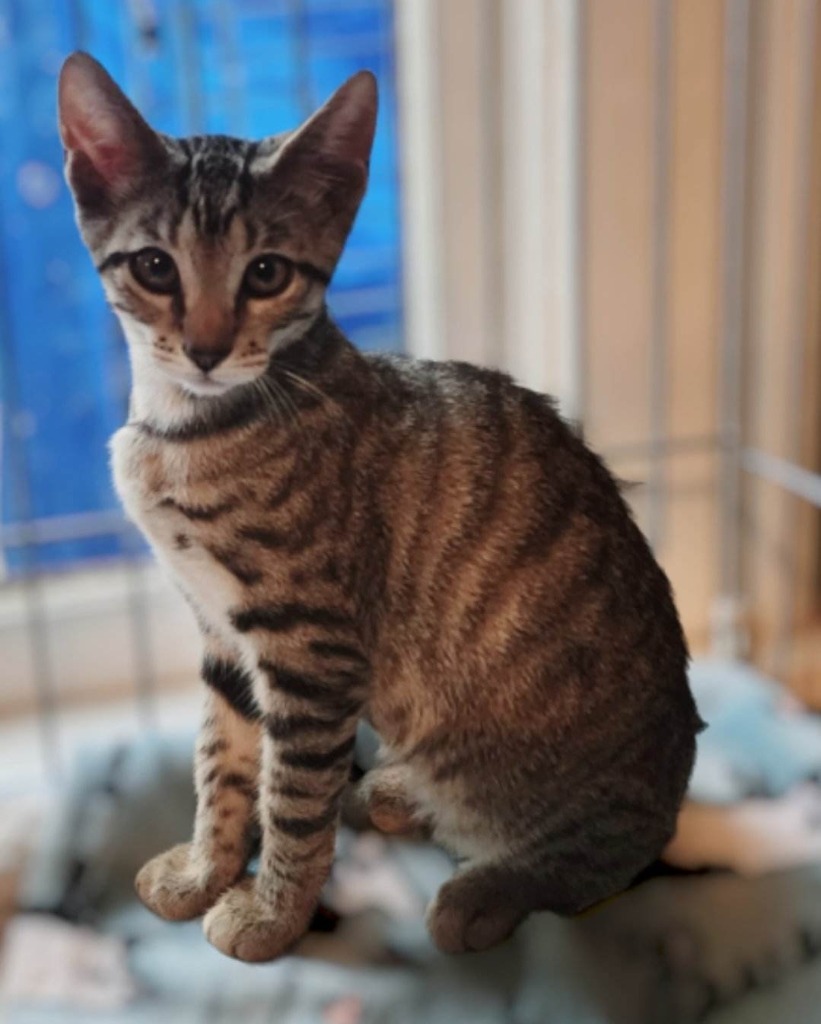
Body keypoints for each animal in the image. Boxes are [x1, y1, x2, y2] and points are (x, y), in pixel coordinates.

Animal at [57, 48, 700, 958]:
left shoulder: (310, 648)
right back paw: (394, 791)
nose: (207, 349)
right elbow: (221, 762)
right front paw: (204, 866)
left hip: (558, 786)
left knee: (597, 861)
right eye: (154, 267)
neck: (189, 424)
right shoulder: (223, 636)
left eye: (266, 272)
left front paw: (272, 913)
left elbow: (291, 799)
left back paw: (486, 891)